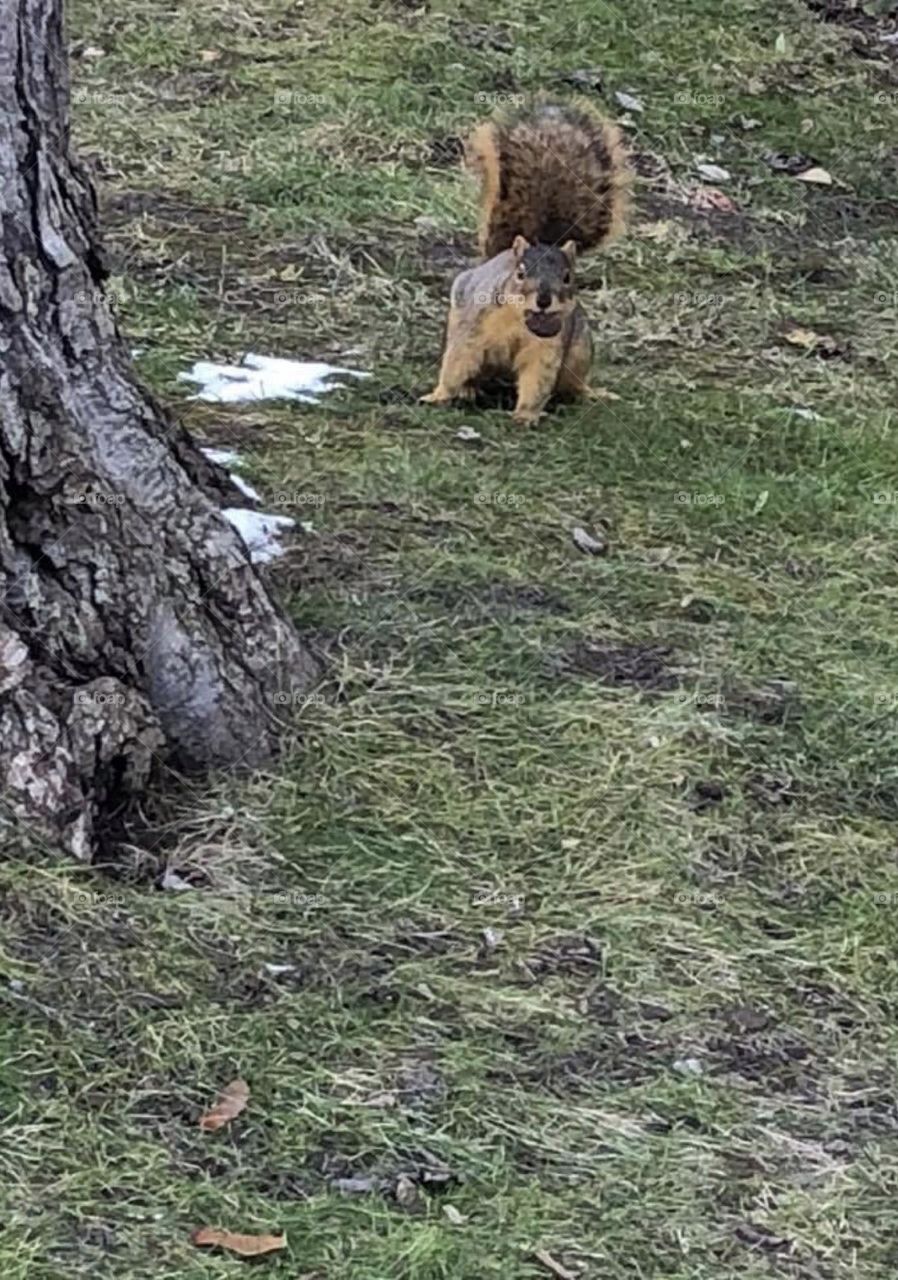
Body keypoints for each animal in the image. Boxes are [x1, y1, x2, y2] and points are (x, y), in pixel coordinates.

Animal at [420, 100, 630, 425]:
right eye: (520, 273)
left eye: (568, 277)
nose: (543, 300)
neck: (520, 318)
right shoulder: (472, 330)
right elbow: (457, 363)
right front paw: (440, 395)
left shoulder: (548, 346)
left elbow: (537, 380)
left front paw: (526, 415)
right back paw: (469, 390)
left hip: (580, 350)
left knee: (573, 384)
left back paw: (592, 393)